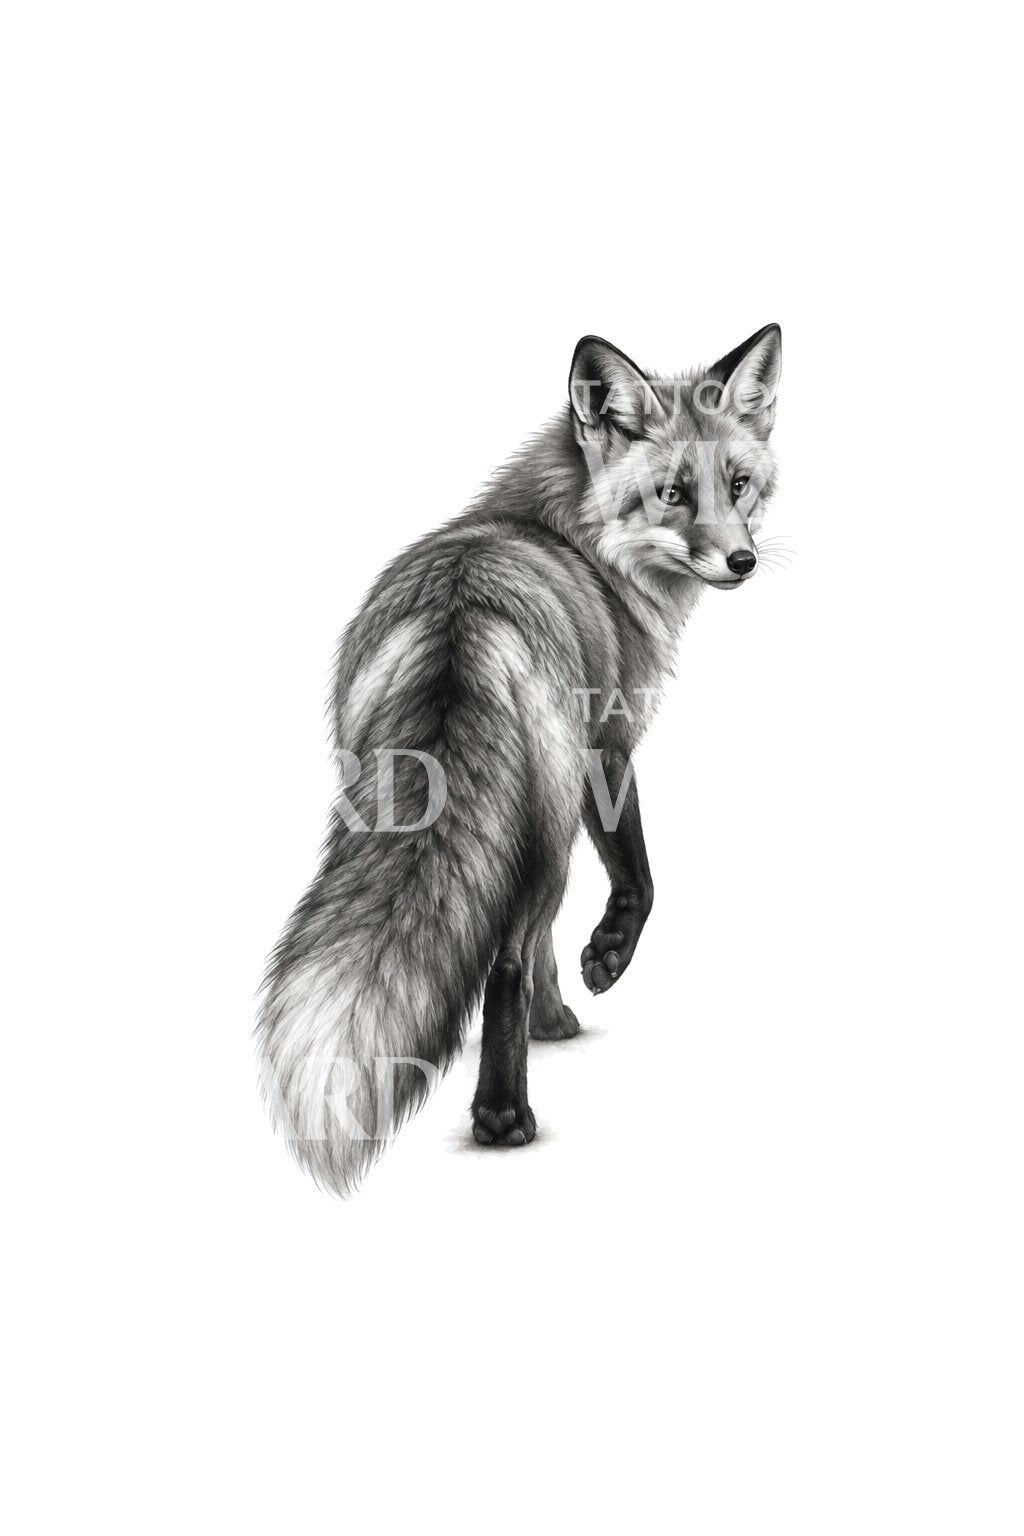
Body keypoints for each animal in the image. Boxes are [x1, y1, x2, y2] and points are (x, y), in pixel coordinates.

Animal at [257, 324, 782, 1195]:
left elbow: (545, 937)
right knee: (502, 958)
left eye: (738, 484)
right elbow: (639, 879)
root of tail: (463, 613)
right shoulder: (609, 749)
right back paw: (503, 1118)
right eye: (673, 494)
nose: (743, 562)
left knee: (507, 935)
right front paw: (603, 962)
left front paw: (556, 1020)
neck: (577, 542)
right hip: (549, 815)